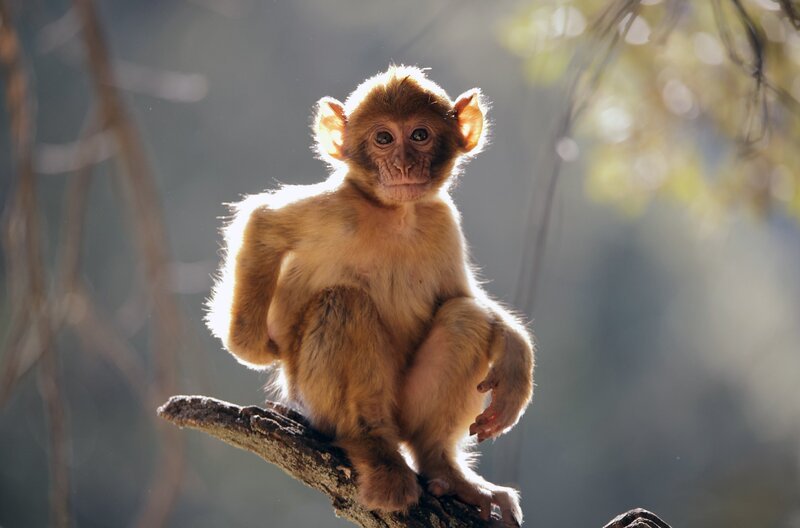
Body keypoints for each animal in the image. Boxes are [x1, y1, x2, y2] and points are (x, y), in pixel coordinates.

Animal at [206, 66, 535, 525]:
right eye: (383, 138)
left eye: (419, 135)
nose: (403, 163)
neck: (394, 213)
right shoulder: (333, 208)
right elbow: (262, 226)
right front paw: (252, 345)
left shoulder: (443, 220)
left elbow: (461, 295)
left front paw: (514, 348)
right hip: (320, 397)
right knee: (345, 302)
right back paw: (370, 445)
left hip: (407, 408)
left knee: (465, 317)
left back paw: (443, 468)